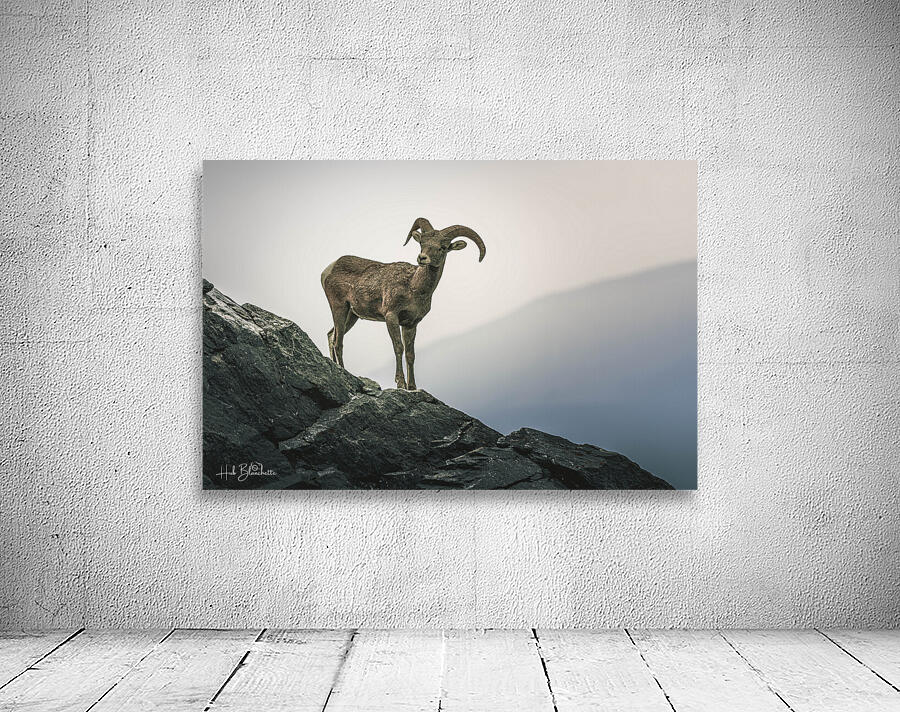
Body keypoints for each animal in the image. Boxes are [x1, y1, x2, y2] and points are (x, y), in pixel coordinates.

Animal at [320, 218, 486, 390]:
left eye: (443, 247)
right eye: (422, 243)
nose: (422, 258)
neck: (413, 286)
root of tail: (328, 270)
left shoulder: (411, 324)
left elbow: (410, 354)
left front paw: (411, 387)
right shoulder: (391, 316)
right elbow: (398, 347)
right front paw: (400, 383)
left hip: (352, 315)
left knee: (331, 335)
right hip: (339, 307)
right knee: (338, 342)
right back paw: (343, 370)